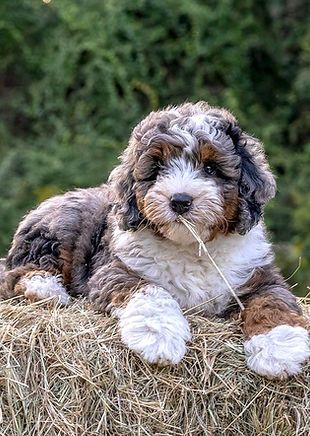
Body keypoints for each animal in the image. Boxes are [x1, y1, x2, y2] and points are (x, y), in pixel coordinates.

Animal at [0, 102, 310, 378]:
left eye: (211, 168)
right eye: (158, 168)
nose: (180, 200)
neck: (191, 247)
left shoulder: (258, 275)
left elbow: (273, 301)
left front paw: (280, 348)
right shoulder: (115, 270)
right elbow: (150, 292)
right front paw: (159, 336)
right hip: (60, 227)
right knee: (17, 271)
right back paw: (46, 289)